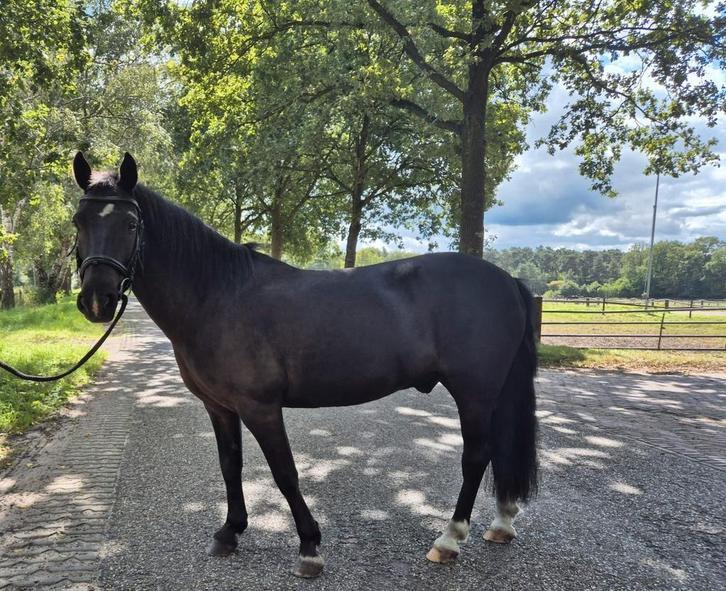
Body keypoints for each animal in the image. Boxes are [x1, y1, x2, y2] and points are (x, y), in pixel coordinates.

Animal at [70, 151, 538, 578]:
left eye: (131, 225)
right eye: (78, 222)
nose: (97, 300)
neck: (217, 295)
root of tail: (505, 279)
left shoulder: (260, 407)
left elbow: (285, 474)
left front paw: (309, 547)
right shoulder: (219, 407)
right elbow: (230, 466)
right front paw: (229, 532)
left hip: (474, 392)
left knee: (476, 457)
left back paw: (448, 540)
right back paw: (501, 522)